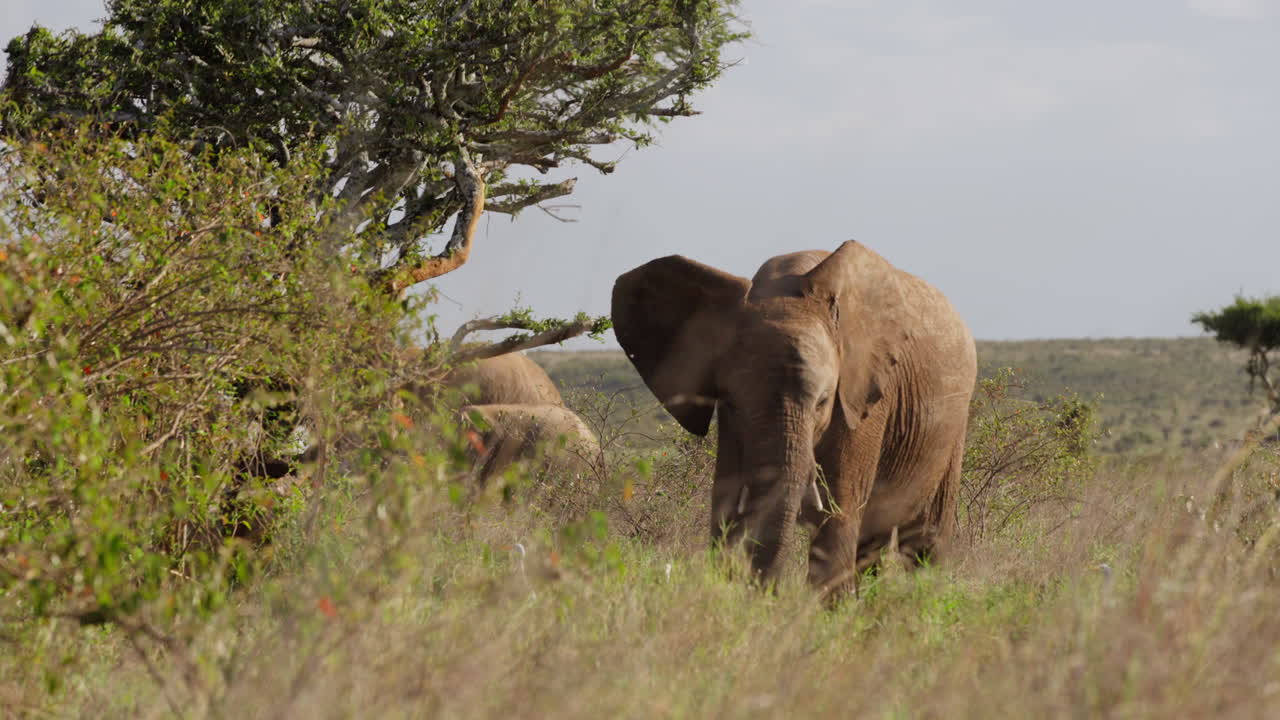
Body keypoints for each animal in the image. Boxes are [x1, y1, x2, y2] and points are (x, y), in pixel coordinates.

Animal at [612, 240, 977, 596]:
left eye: (823, 402)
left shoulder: (863, 397)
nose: (766, 594)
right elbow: (725, 500)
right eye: (732, 402)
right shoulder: (732, 425)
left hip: (952, 428)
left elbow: (840, 509)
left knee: (924, 540)